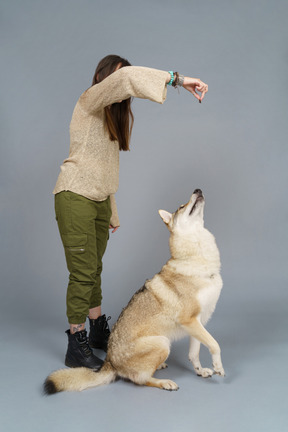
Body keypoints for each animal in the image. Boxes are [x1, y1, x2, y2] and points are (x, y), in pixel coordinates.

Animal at [44, 187, 225, 394]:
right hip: (163, 343)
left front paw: (200, 371)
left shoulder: (198, 322)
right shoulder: (190, 320)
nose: (197, 189)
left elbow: (195, 353)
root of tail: (110, 363)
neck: (196, 260)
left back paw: (160, 367)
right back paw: (164, 382)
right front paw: (219, 367)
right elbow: (214, 344)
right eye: (181, 207)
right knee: (139, 379)